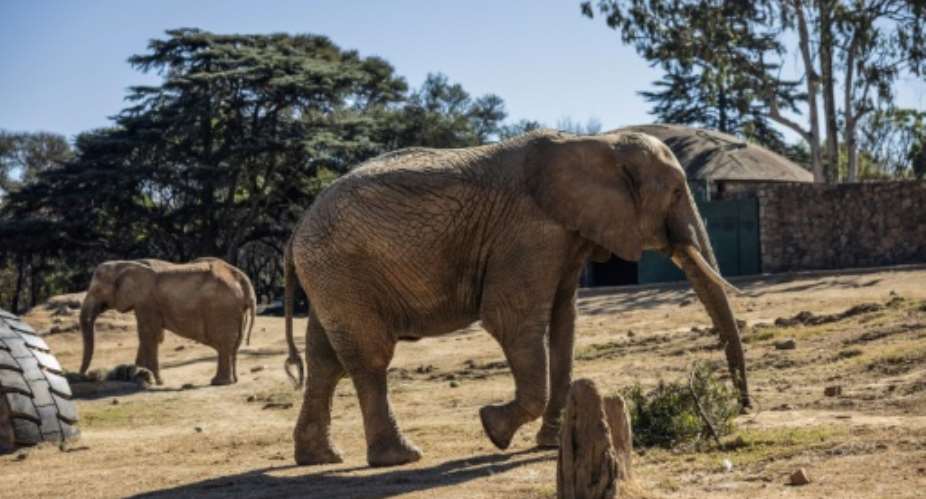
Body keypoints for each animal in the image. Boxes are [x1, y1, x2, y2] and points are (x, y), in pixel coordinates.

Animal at [79, 257, 257, 386]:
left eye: (96, 290)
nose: (84, 376)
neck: (124, 264)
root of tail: (243, 280)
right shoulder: (146, 304)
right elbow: (152, 336)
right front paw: (139, 377)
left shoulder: (146, 302)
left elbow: (148, 335)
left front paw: (155, 381)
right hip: (235, 311)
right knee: (233, 346)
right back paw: (231, 381)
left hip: (222, 309)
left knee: (224, 346)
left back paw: (218, 382)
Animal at [282, 129, 749, 467]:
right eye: (677, 192)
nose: (744, 408)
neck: (598, 141)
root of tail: (297, 228)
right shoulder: (529, 233)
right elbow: (512, 321)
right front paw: (494, 428)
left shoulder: (566, 235)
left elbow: (563, 324)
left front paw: (549, 443)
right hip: (343, 270)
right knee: (369, 357)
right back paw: (400, 458)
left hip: (330, 277)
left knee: (325, 360)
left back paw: (320, 458)